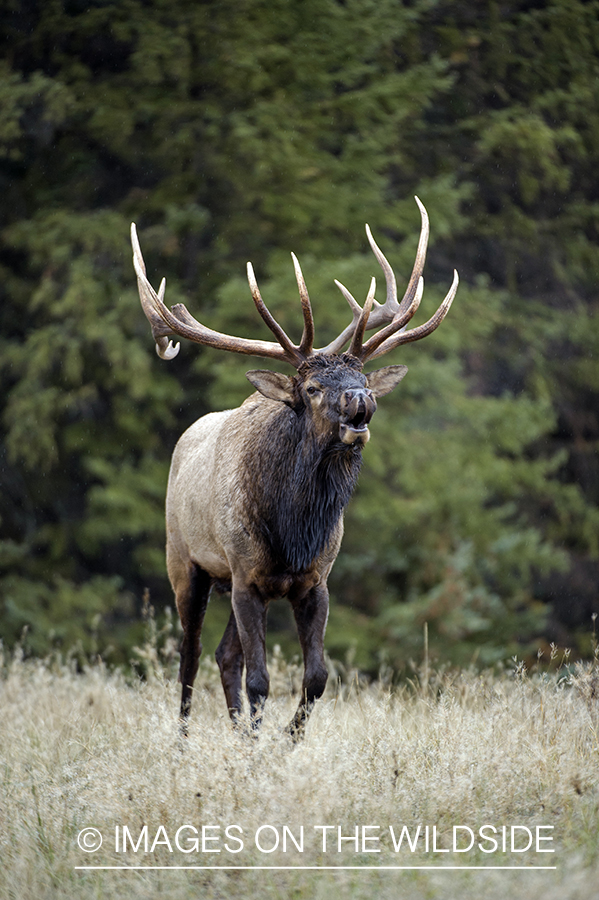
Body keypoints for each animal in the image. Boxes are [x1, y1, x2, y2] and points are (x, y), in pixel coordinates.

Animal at [131, 200, 460, 740]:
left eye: (361, 375)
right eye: (311, 388)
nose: (361, 400)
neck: (294, 529)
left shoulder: (314, 580)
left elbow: (317, 678)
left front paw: (283, 740)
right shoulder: (245, 574)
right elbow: (260, 679)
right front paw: (264, 743)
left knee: (223, 655)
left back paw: (239, 735)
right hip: (186, 562)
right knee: (190, 655)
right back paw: (183, 741)